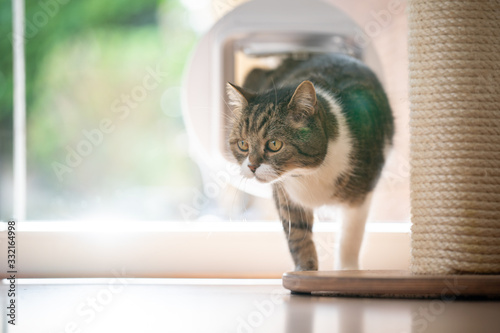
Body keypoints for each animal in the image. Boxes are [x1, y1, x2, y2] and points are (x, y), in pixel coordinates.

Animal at [227, 52, 394, 270]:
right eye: (243, 144)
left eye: (274, 144)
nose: (252, 166)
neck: (309, 174)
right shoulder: (286, 197)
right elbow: (298, 235)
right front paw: (305, 270)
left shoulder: (361, 196)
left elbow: (350, 237)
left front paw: (347, 271)